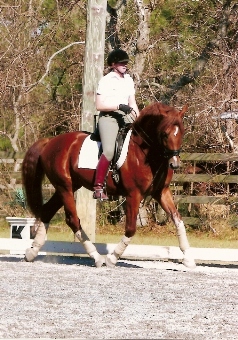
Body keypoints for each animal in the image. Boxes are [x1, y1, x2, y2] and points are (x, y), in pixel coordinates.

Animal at [22, 101, 196, 268]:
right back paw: (97, 258)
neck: (146, 154)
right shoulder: (133, 194)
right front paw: (112, 258)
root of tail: (50, 141)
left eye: (182, 132)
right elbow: (131, 229)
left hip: (68, 186)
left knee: (47, 211)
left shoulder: (161, 192)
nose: (174, 164)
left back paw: (31, 252)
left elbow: (178, 221)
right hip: (64, 187)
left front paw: (188, 259)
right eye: (165, 133)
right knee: (73, 220)